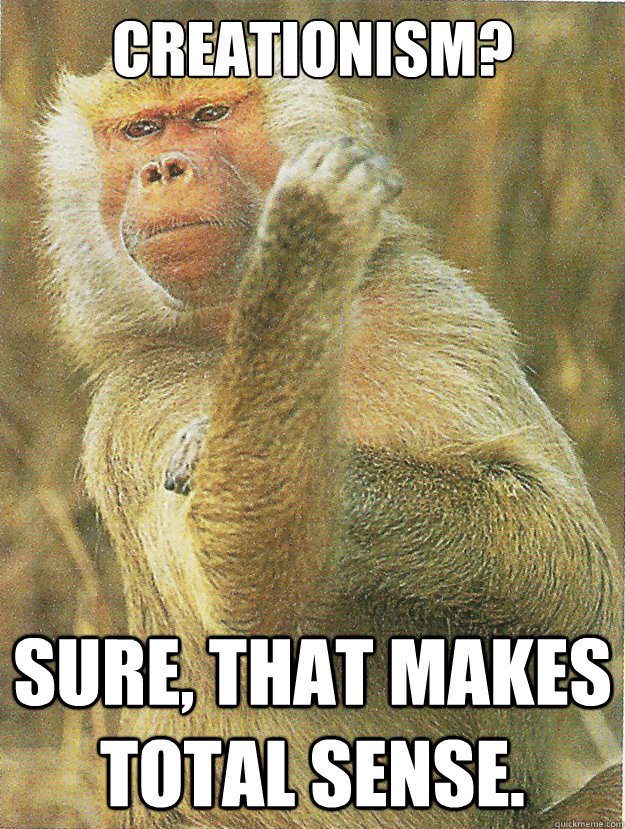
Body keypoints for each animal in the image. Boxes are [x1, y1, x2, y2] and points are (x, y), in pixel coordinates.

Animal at [39, 61, 621, 828]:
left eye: (207, 114)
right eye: (140, 130)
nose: (164, 168)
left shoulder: (431, 307)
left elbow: (575, 571)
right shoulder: (138, 404)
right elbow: (249, 601)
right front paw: (305, 241)